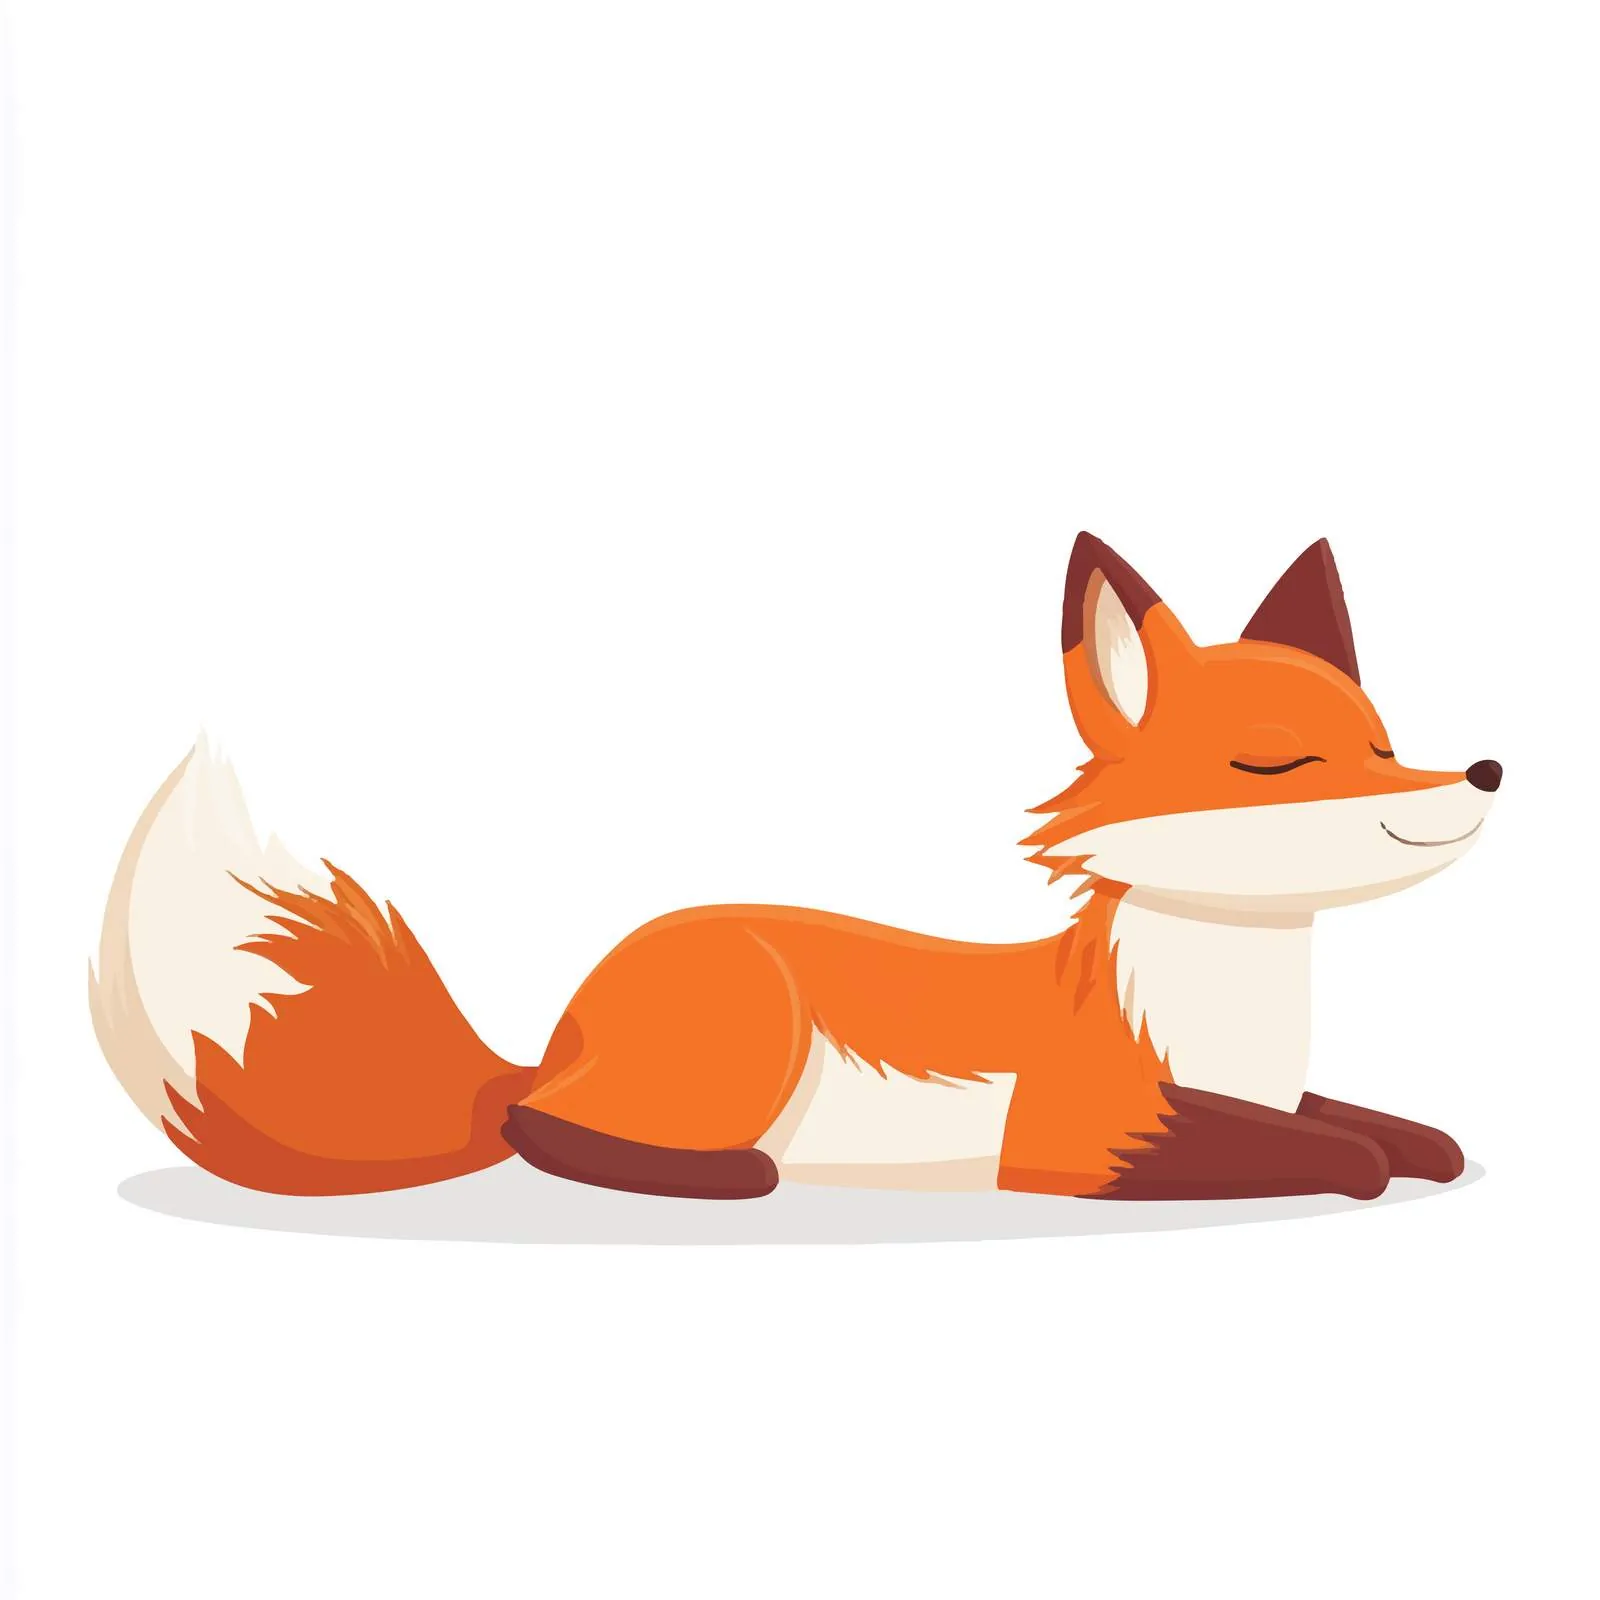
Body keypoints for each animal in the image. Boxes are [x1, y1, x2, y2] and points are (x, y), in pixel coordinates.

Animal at [90, 533, 1500, 1204]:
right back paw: (718, 1175)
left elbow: (1386, 1131)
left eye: (1382, 743)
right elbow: (1336, 1151)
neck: (1227, 1007)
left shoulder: (1262, 1088)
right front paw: (1365, 1166)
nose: (1482, 773)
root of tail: (560, 1031)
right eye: (1275, 764)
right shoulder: (1082, 1132)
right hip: (753, 1028)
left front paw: (1424, 1144)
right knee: (538, 1128)